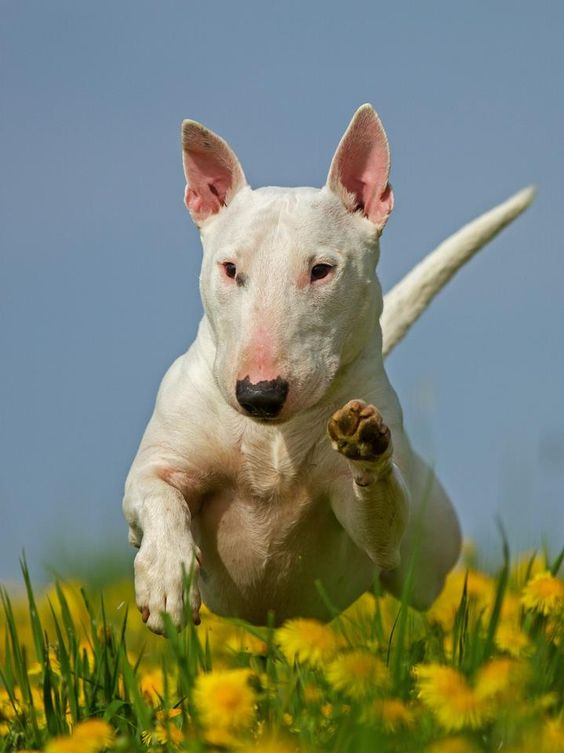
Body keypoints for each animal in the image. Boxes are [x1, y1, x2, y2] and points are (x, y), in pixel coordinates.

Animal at [122, 104, 532, 636]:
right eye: (230, 268)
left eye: (321, 270)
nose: (260, 394)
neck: (272, 440)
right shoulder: (157, 467)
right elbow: (158, 494)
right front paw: (166, 581)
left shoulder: (368, 523)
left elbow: (379, 521)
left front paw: (366, 444)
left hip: (429, 554)